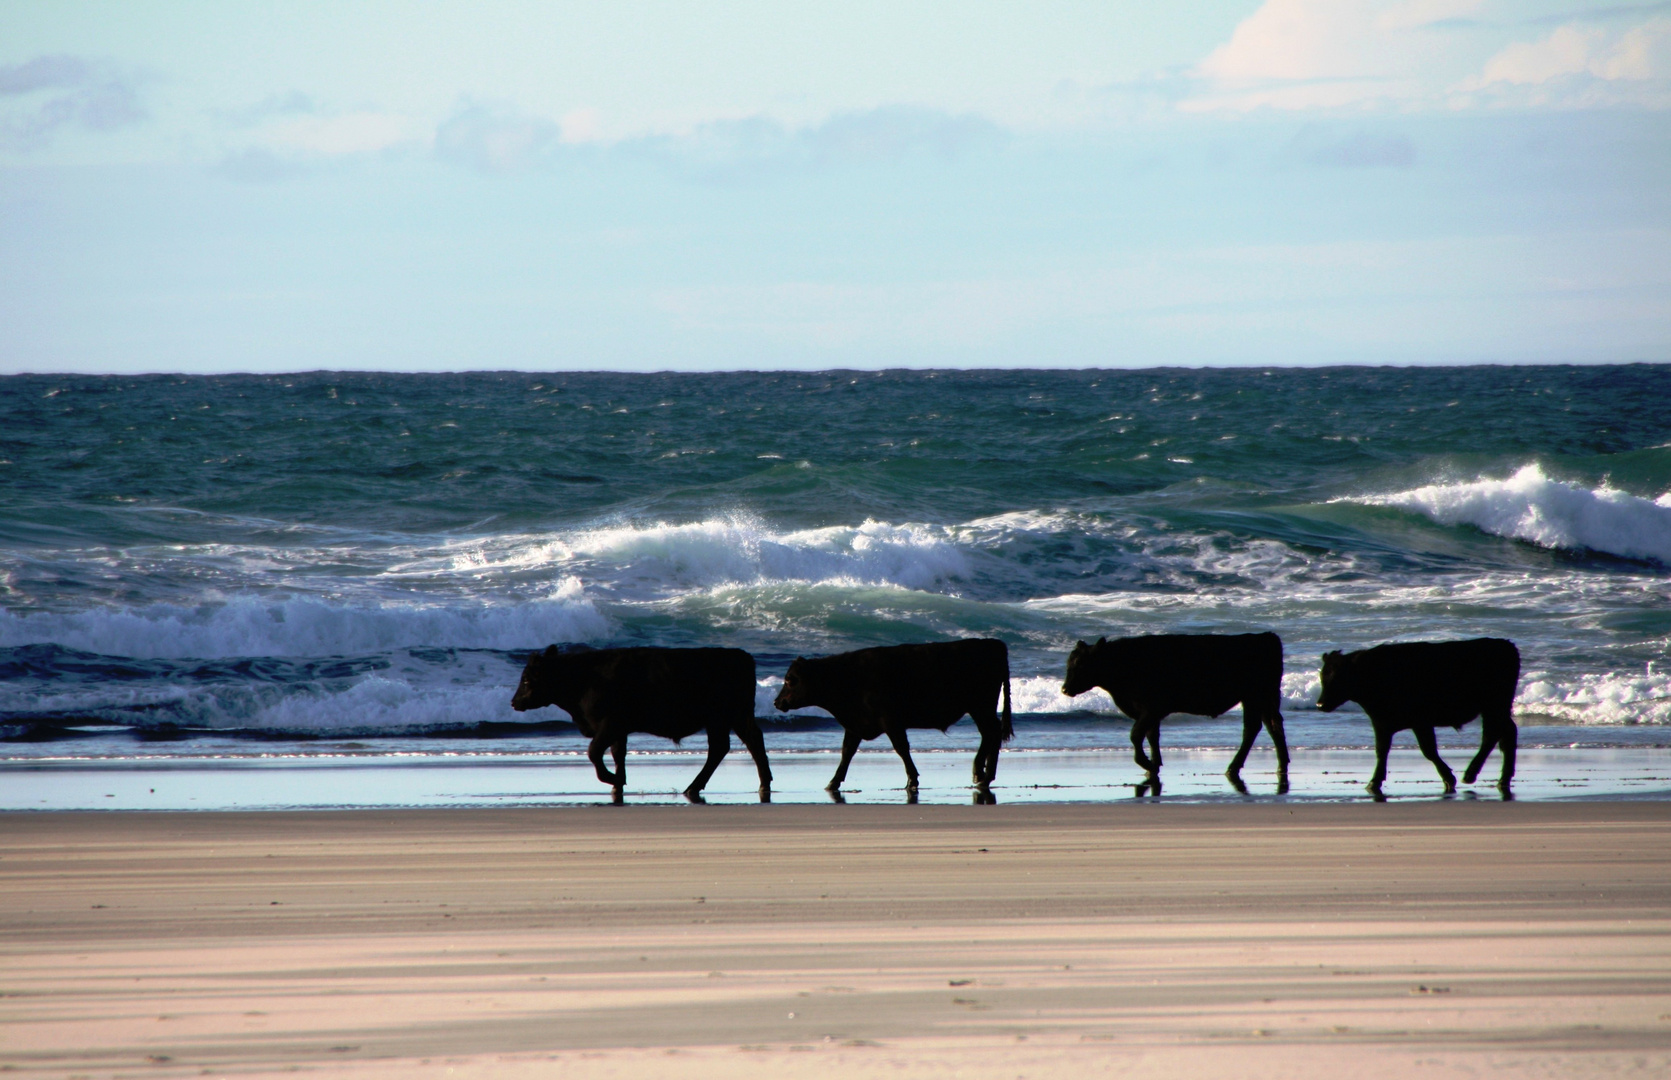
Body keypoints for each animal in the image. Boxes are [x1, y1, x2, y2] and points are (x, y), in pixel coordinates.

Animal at [507, 641, 768, 802]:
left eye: (527, 680)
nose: (514, 702)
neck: (584, 678)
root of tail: (741, 655)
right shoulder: (618, 730)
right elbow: (617, 754)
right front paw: (618, 783)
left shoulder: (609, 724)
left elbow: (594, 752)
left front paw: (613, 779)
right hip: (729, 718)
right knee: (742, 743)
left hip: (723, 717)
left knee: (725, 747)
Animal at [765, 638, 1002, 799]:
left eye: (790, 679)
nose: (777, 702)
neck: (847, 677)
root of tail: (991, 642)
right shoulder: (855, 725)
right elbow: (846, 752)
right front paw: (833, 782)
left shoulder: (890, 720)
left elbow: (901, 748)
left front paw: (912, 780)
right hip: (981, 708)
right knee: (992, 734)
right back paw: (984, 774)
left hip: (981, 706)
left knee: (992, 733)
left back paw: (983, 775)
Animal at [1062, 631, 1283, 792]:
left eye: (1081, 663)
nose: (1064, 689)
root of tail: (1265, 636)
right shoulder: (1149, 713)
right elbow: (1152, 736)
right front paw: (1154, 765)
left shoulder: (1151, 708)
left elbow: (1136, 735)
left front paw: (1147, 764)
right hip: (1263, 698)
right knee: (1273, 725)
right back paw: (1282, 764)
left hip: (1254, 696)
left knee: (1253, 728)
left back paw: (1233, 768)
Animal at [1316, 638, 1530, 799]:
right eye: (1322, 675)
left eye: (1339, 676)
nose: (1320, 704)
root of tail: (1506, 644)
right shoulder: (1381, 723)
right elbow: (1381, 751)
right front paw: (1374, 781)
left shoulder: (1420, 722)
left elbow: (1428, 750)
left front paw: (1448, 778)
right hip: (1496, 708)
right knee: (1507, 733)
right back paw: (1502, 779)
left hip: (1494, 705)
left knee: (1493, 735)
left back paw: (1471, 774)